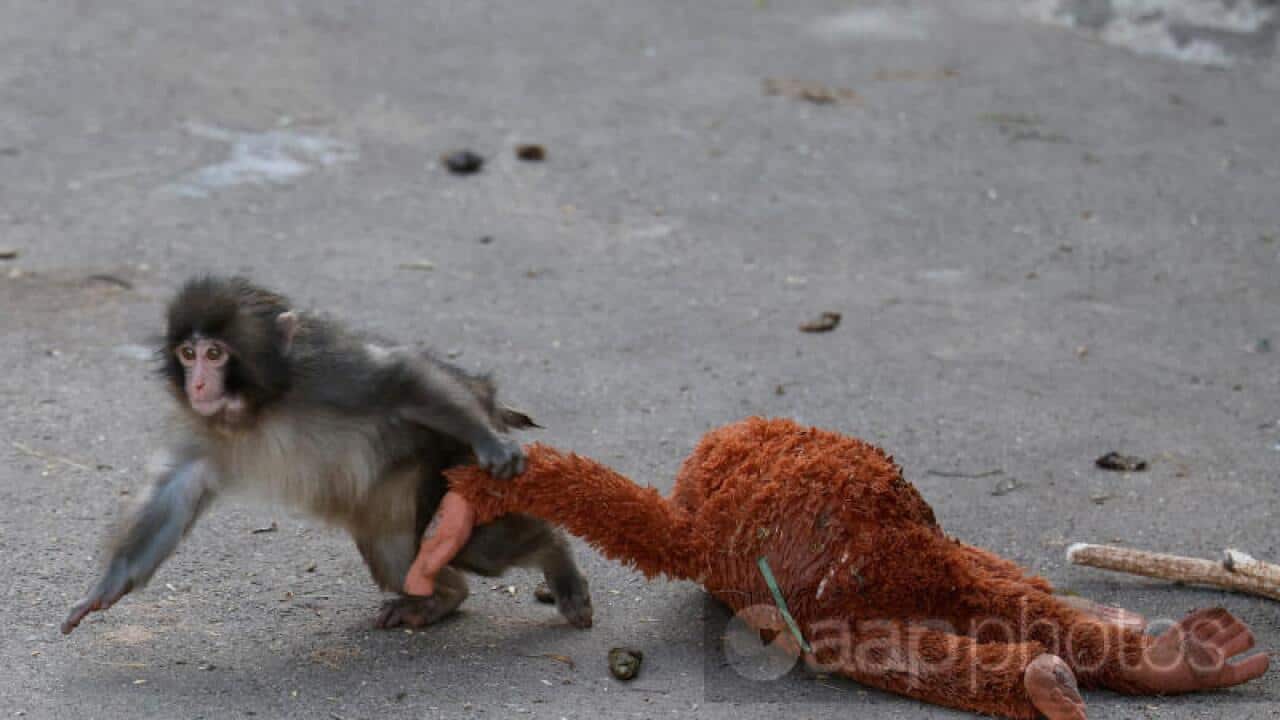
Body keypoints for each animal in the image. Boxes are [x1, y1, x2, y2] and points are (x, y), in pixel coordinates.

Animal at [61, 275, 592, 634]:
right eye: (187, 354)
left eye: (215, 354)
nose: (197, 385)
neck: (259, 406)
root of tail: (487, 395)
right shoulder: (202, 425)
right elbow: (175, 489)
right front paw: (106, 588)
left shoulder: (326, 371)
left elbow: (396, 378)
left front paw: (493, 443)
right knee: (397, 553)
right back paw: (441, 598)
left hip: (450, 459)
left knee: (483, 545)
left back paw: (556, 559)